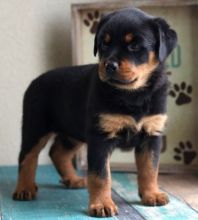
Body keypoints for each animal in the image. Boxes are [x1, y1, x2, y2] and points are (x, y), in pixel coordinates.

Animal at [12, 7, 176, 217]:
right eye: (104, 44)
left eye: (134, 45)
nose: (109, 65)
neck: (133, 94)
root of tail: (35, 81)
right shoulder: (100, 137)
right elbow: (101, 176)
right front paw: (102, 205)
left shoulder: (151, 135)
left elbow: (150, 168)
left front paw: (152, 194)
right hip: (35, 126)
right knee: (27, 156)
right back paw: (24, 188)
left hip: (73, 131)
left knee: (58, 152)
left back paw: (73, 180)